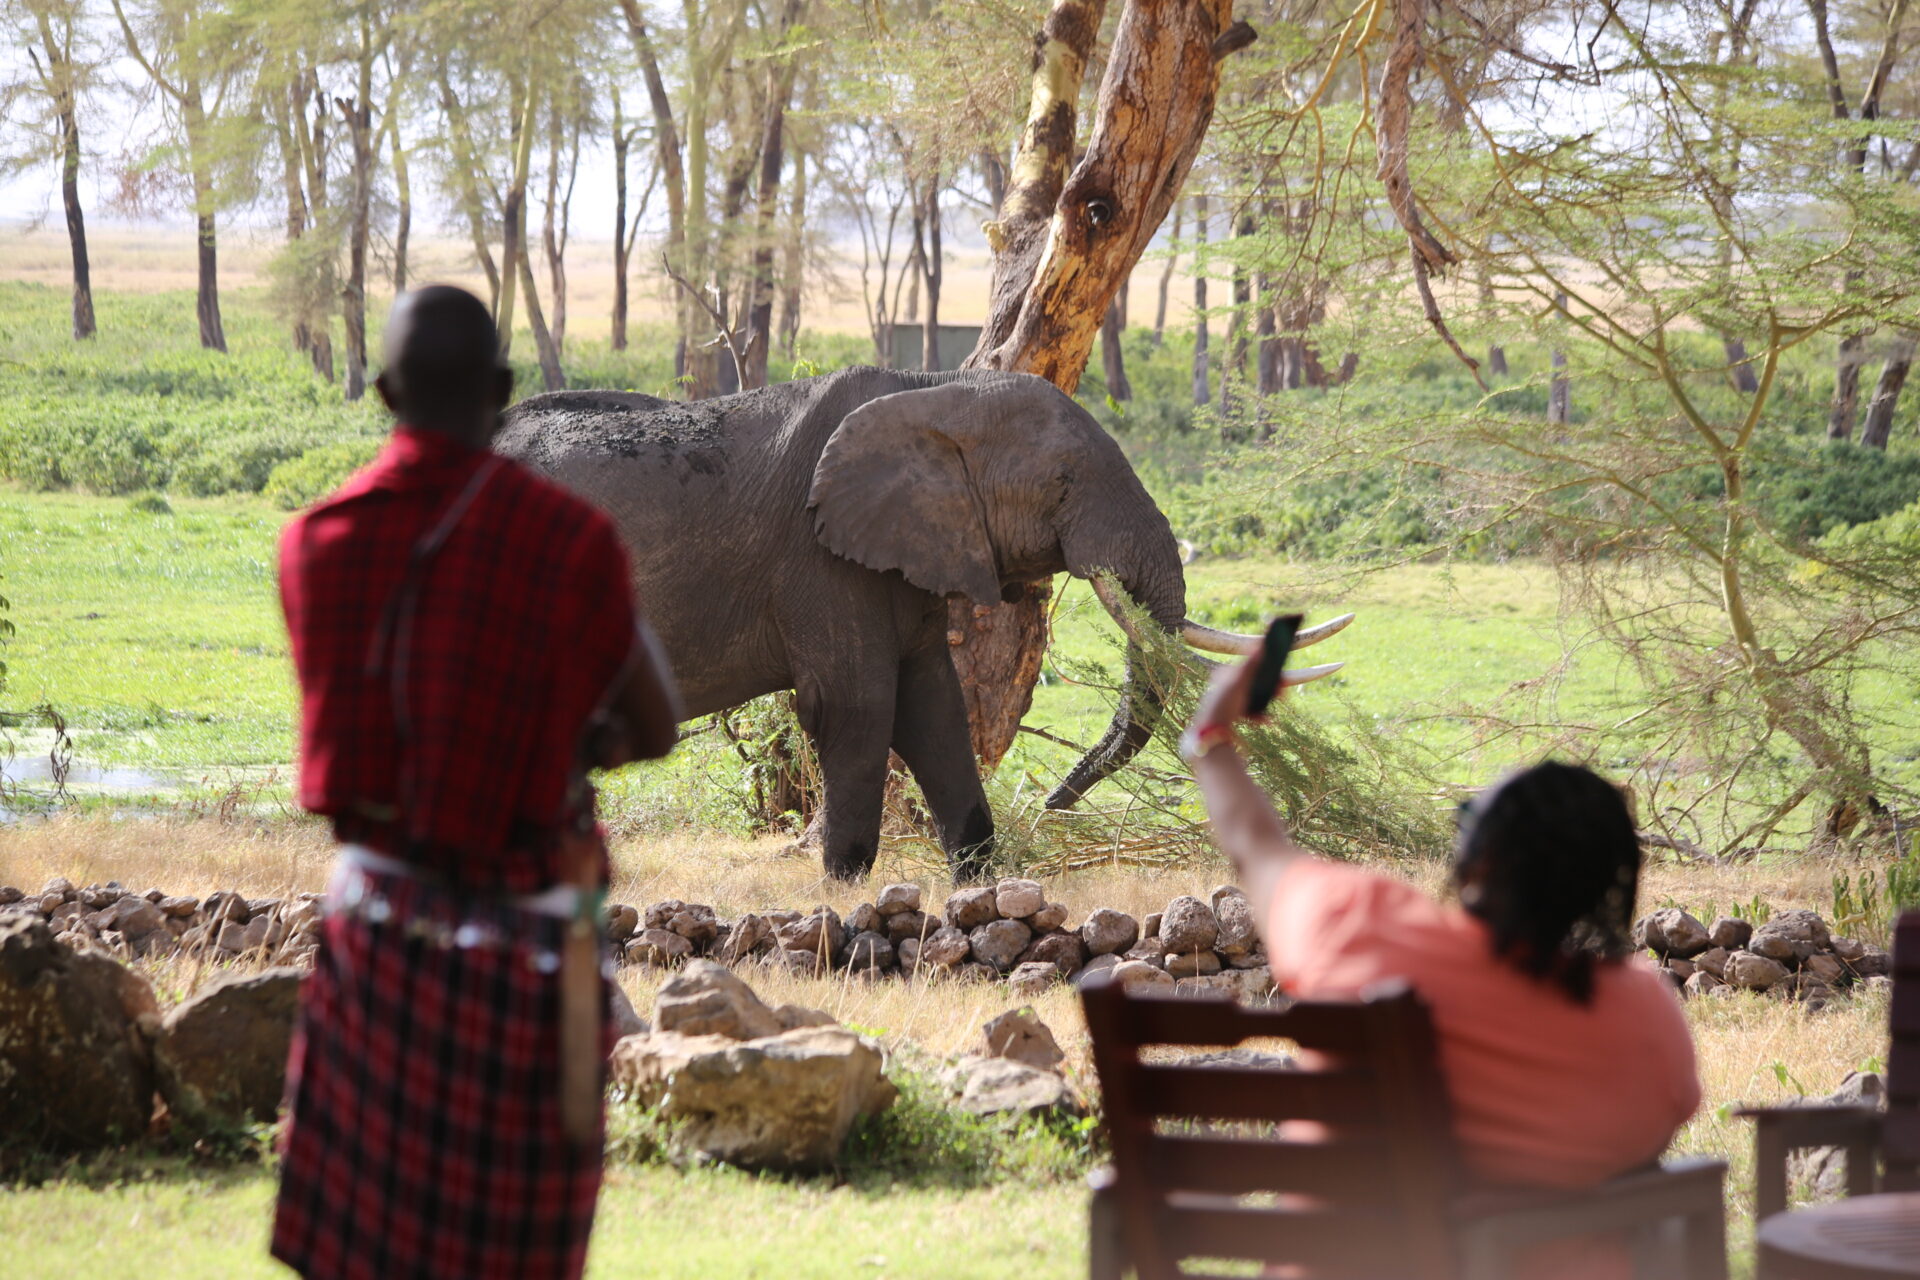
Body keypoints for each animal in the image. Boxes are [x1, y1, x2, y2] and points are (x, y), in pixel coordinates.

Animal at [494, 367, 1348, 880]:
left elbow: (935, 707)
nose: (1054, 803)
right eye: (1063, 482)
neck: (937, 391)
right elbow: (861, 707)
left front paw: (978, 880)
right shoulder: (822, 559)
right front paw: (843, 888)